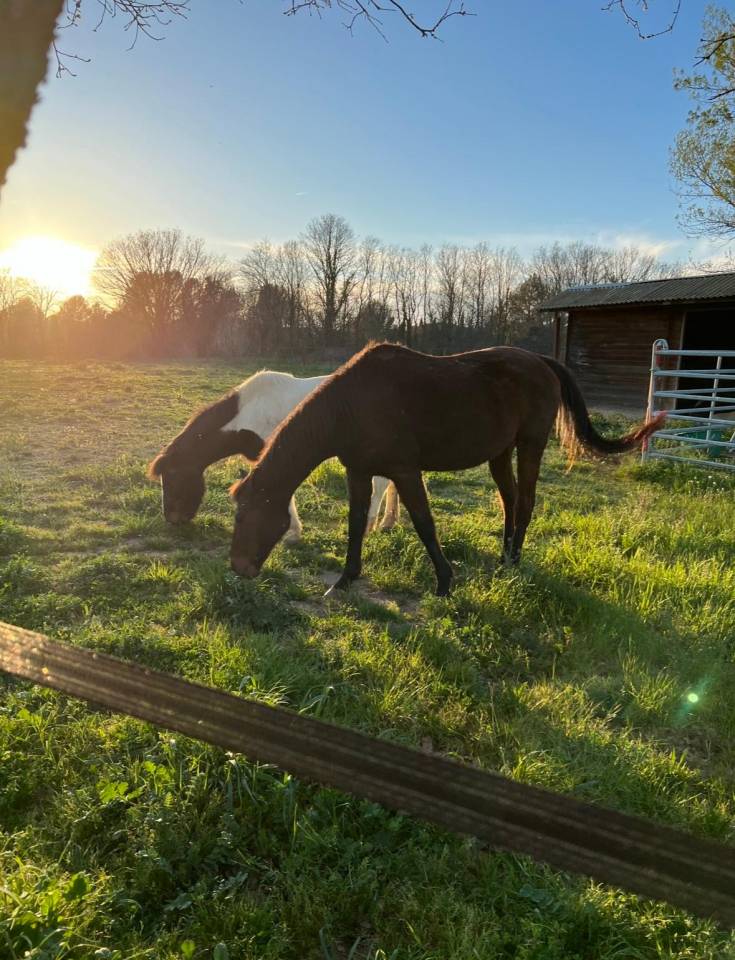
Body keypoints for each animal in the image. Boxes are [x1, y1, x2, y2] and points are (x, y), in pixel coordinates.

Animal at [147, 370, 399, 542]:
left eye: (172, 476)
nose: (172, 519)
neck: (250, 410)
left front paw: (292, 533)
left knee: (380, 485)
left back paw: (368, 528)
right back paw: (387, 523)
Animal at [228, 342, 666, 595]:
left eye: (249, 516)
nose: (239, 569)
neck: (351, 406)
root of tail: (542, 361)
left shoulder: (405, 471)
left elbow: (424, 523)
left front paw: (444, 581)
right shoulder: (358, 471)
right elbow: (355, 522)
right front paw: (345, 579)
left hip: (531, 444)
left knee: (525, 502)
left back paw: (514, 562)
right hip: (500, 453)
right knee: (510, 501)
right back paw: (504, 557)